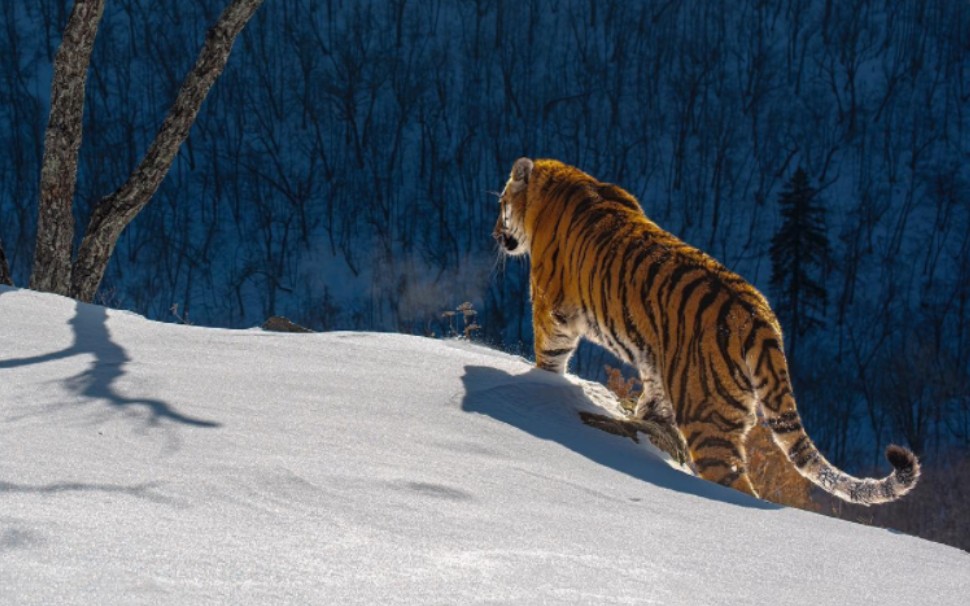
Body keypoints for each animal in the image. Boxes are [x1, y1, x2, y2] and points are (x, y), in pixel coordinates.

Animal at [496, 154, 920, 506]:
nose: (496, 234)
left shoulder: (553, 309)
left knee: (735, 483)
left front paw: (540, 383)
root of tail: (761, 317)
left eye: (501, 203)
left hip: (708, 419)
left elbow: (550, 358)